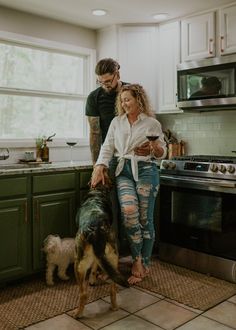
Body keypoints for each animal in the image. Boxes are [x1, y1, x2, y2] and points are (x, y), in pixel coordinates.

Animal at [74, 169, 129, 318]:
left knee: (83, 293)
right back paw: (114, 307)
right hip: (113, 257)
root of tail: (96, 228)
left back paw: (78, 314)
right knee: (113, 289)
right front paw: (93, 279)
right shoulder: (98, 255)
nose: (105, 168)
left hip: (78, 263)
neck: (98, 191)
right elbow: (95, 266)